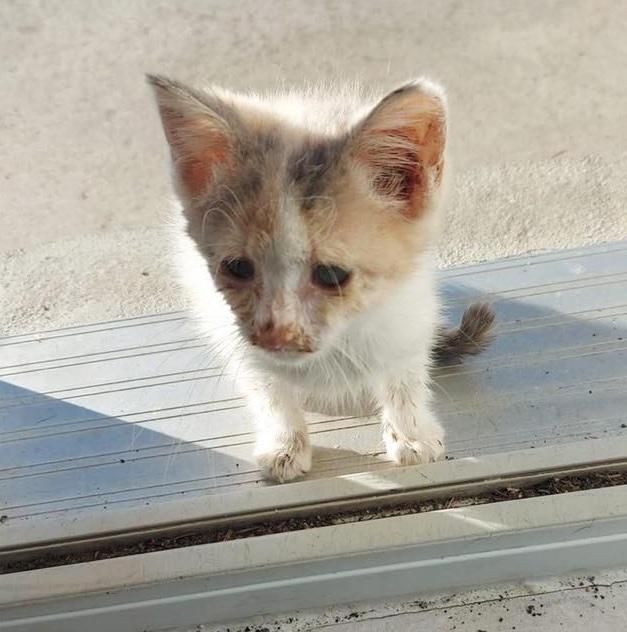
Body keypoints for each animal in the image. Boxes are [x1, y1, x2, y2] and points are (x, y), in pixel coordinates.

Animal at [148, 73, 496, 484]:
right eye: (237, 268)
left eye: (331, 274)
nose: (275, 334)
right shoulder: (231, 332)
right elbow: (266, 386)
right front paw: (284, 443)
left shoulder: (409, 308)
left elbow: (405, 371)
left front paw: (412, 434)